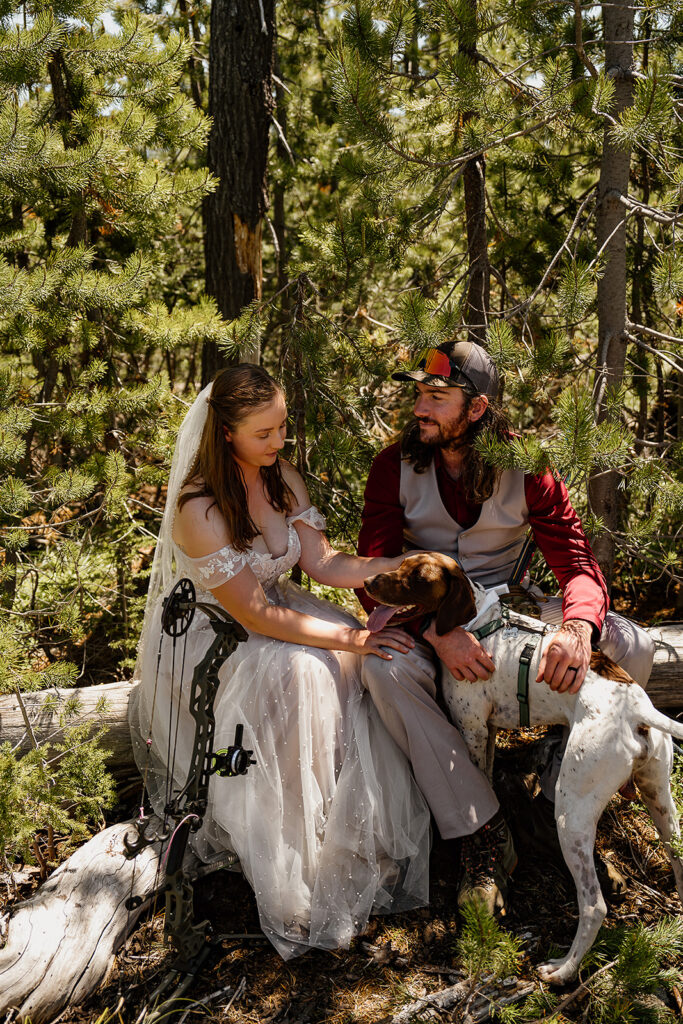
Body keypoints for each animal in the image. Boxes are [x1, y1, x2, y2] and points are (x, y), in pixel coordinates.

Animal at [362, 552, 683, 983]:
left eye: (417, 578)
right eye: (400, 562)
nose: (368, 582)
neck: (476, 625)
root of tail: (637, 708)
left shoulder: (472, 730)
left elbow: (480, 792)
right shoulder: (490, 731)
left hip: (573, 811)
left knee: (594, 905)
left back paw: (563, 970)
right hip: (660, 800)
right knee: (679, 862)